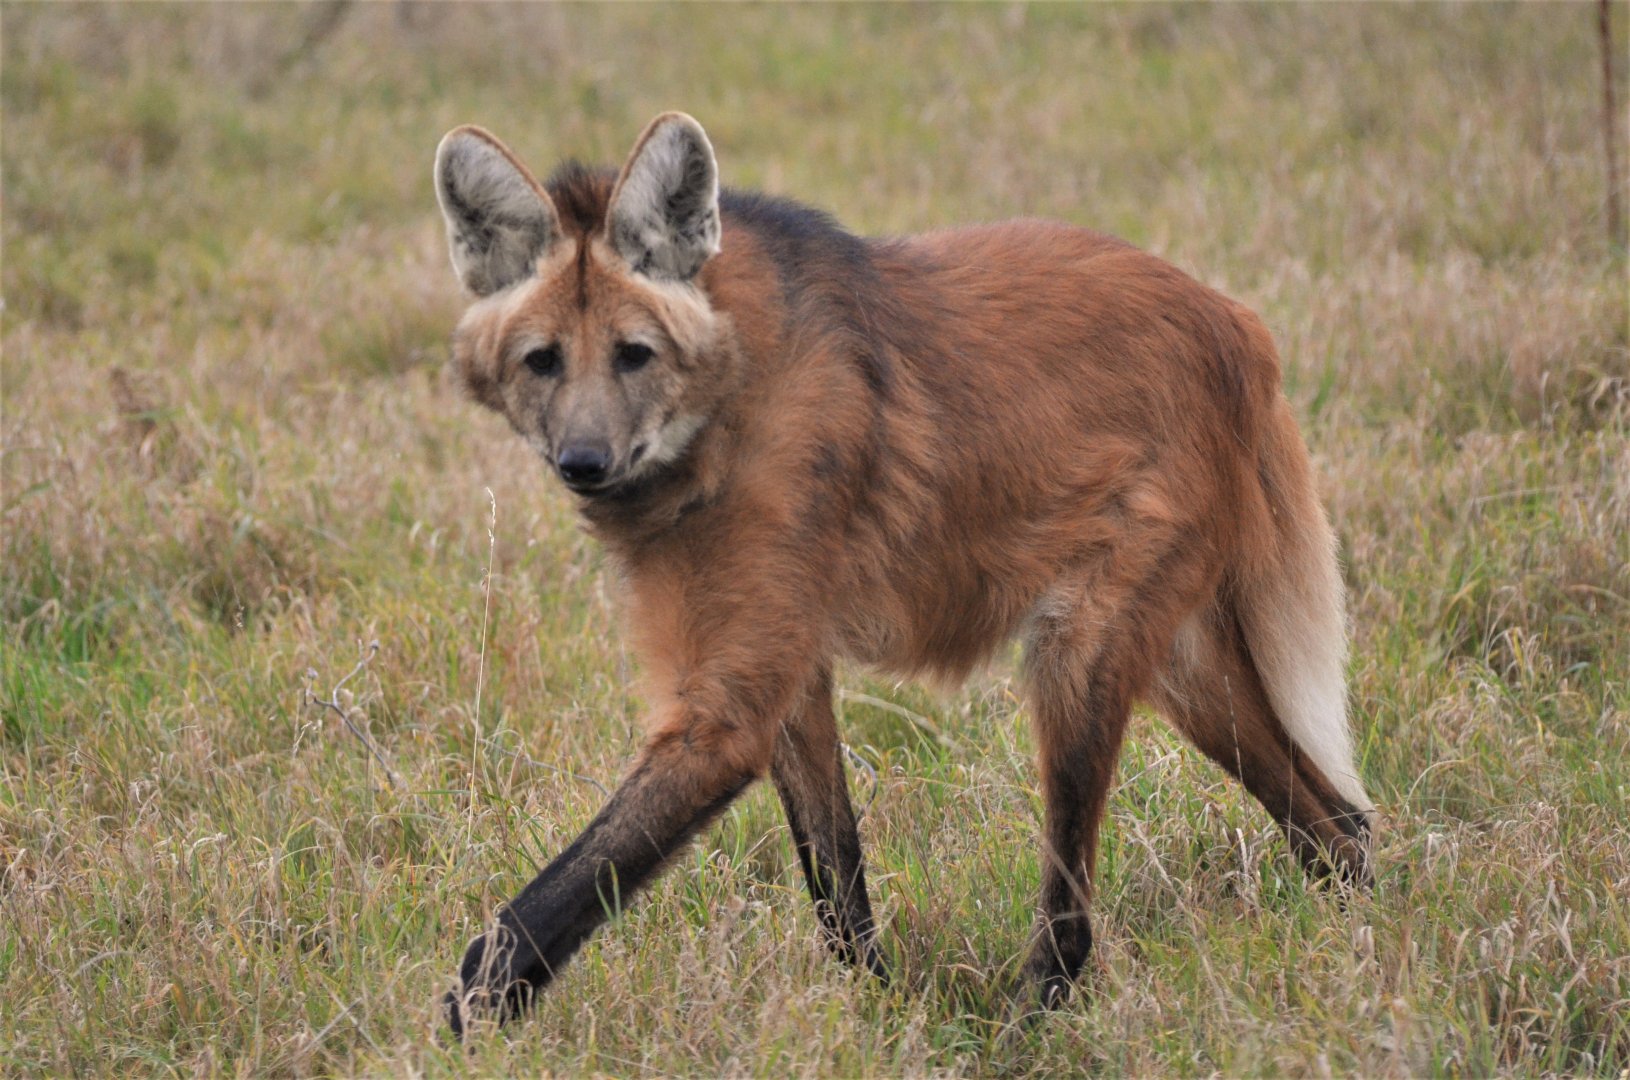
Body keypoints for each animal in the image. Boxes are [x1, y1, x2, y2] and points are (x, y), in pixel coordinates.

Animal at [433, 112, 1373, 1036]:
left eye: (634, 354)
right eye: (544, 360)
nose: (583, 462)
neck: (729, 401)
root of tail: (1239, 324)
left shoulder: (724, 714)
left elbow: (532, 916)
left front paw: (455, 1022)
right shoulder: (789, 670)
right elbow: (836, 878)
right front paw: (874, 1012)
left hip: (1079, 652)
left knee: (1075, 911)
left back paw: (1028, 1024)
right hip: (1183, 666)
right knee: (1340, 822)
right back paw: (1357, 934)